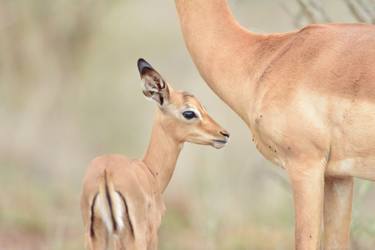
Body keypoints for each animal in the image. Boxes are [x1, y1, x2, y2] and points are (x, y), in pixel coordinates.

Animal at [81, 58, 231, 250]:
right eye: (189, 112)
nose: (224, 134)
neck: (150, 171)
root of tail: (106, 175)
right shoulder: (152, 237)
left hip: (94, 239)